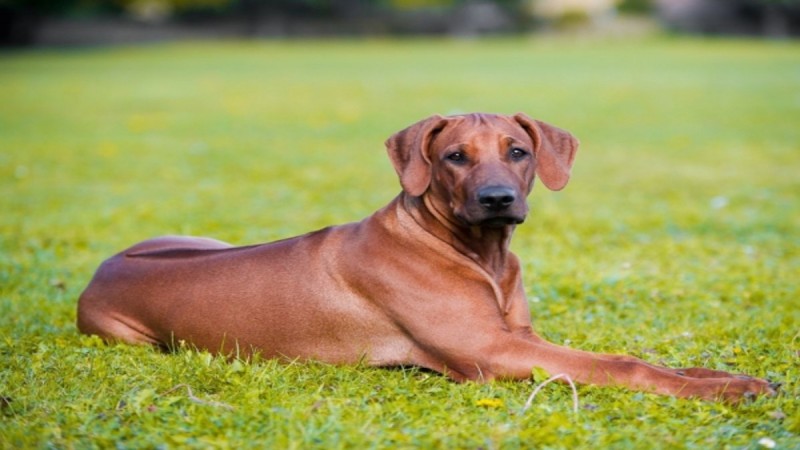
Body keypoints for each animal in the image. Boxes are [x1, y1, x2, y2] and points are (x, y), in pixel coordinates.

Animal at [76, 112, 776, 400]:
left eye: (518, 151)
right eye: (454, 156)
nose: (497, 199)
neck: (478, 254)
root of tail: (100, 270)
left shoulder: (522, 336)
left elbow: (641, 357)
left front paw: (731, 377)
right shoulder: (494, 352)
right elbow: (624, 364)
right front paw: (721, 389)